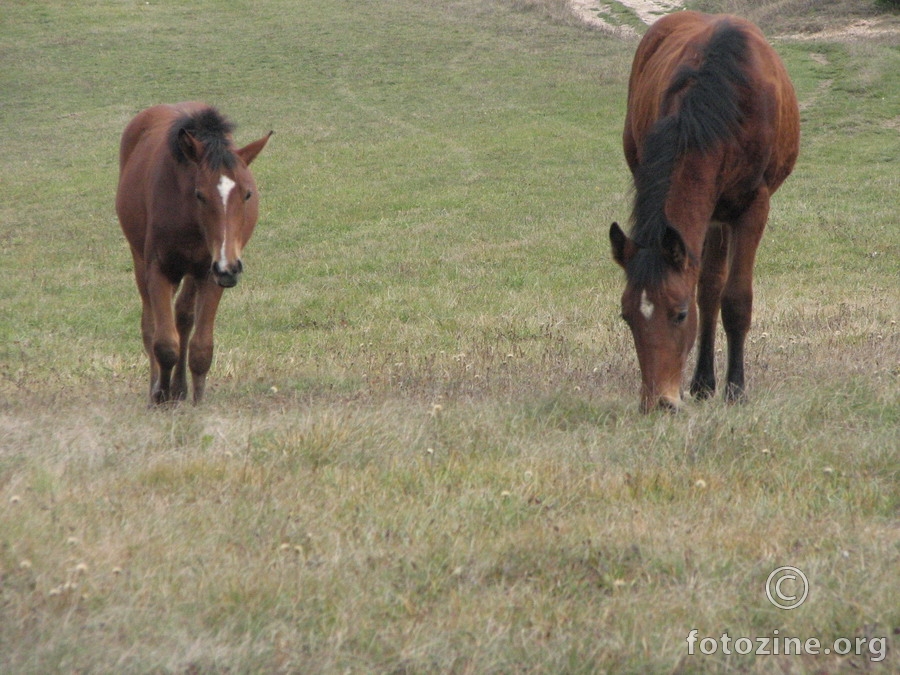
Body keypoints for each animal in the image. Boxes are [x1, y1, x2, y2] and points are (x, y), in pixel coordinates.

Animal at [117, 103, 270, 404]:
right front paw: (160, 396)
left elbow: (201, 347)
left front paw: (197, 401)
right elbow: (164, 343)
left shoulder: (211, 274)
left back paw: (179, 388)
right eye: (200, 195)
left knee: (183, 317)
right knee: (150, 324)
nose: (230, 267)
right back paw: (158, 388)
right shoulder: (159, 270)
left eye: (247, 194)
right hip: (140, 260)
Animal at [608, 11, 800, 412]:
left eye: (679, 314)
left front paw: (736, 389)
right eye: (627, 316)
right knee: (709, 289)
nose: (658, 402)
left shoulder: (753, 207)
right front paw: (705, 383)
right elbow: (709, 291)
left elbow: (737, 299)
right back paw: (701, 381)